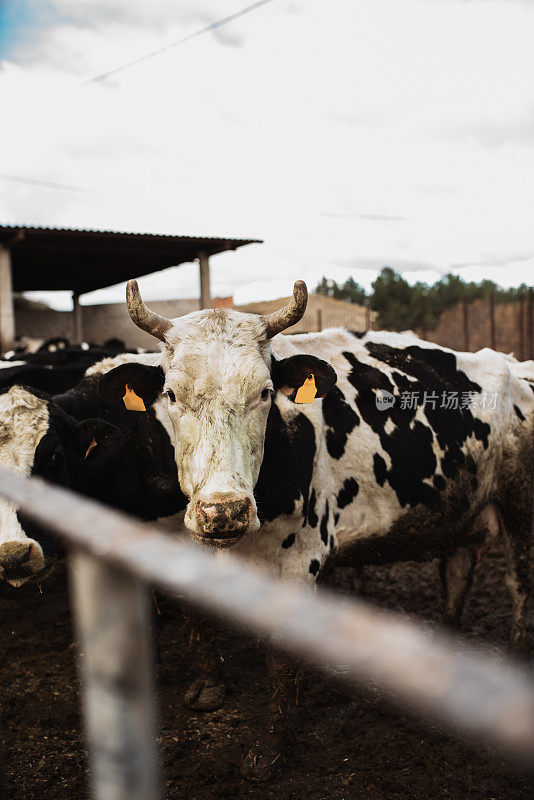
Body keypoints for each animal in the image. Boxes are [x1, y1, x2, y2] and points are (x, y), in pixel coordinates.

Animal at [125, 278, 534, 780]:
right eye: (172, 395)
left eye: (265, 392)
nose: (225, 510)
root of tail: (515, 365)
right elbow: (199, 614)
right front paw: (209, 689)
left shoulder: (303, 558)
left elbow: (281, 654)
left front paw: (269, 750)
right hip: (457, 511)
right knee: (458, 575)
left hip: (521, 506)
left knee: (521, 584)